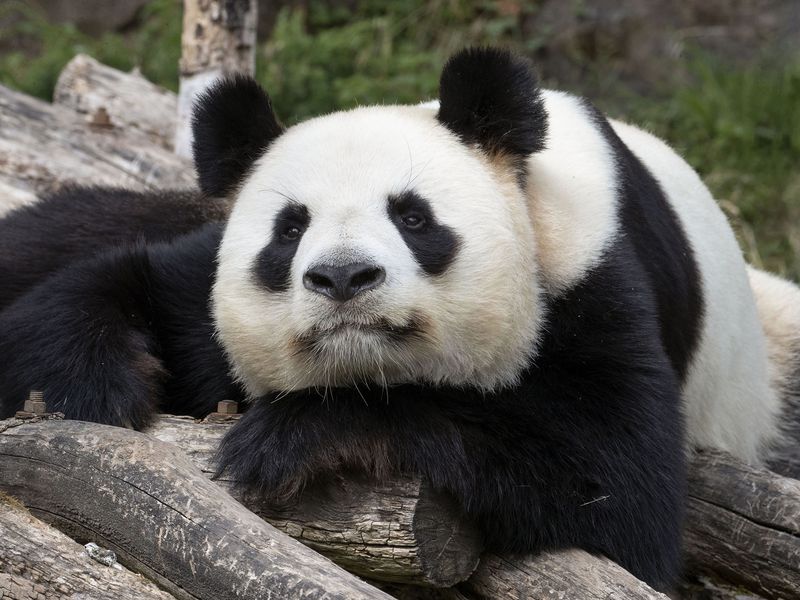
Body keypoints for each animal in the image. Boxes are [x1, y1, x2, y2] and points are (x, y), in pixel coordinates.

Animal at [0, 48, 798, 591]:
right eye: (290, 229)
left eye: (413, 217)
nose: (343, 277)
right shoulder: (204, 283)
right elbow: (124, 284)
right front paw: (92, 384)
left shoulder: (589, 275)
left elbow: (618, 488)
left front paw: (299, 436)